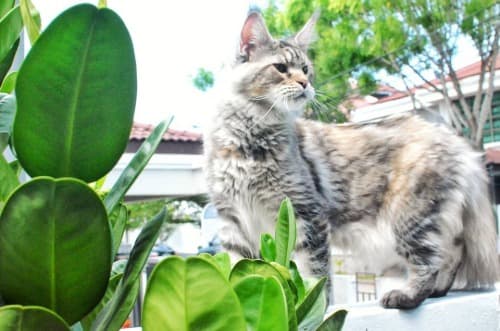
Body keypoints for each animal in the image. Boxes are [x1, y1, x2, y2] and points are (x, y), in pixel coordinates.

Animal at [204, 11, 500, 312]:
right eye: (281, 67)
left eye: (305, 69)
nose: (305, 84)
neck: (248, 141)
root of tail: (450, 135)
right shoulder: (232, 220)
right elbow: (235, 270)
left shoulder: (304, 214)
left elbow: (314, 276)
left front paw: (314, 309)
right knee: (452, 252)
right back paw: (439, 290)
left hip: (409, 216)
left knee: (429, 261)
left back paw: (406, 295)